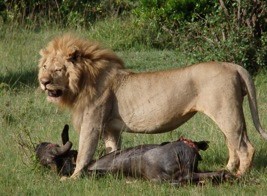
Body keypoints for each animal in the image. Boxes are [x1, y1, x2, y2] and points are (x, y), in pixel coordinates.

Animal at [37, 34, 267, 179]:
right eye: (44, 67)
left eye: (57, 69)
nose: (43, 81)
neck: (83, 81)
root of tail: (233, 65)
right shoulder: (111, 129)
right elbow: (112, 151)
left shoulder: (92, 123)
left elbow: (84, 151)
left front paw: (73, 178)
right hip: (229, 114)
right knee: (233, 145)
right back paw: (227, 170)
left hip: (226, 113)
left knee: (245, 147)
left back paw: (239, 175)